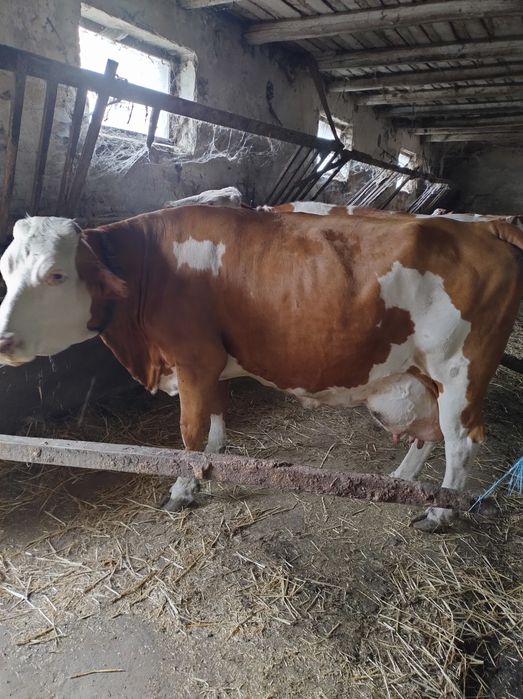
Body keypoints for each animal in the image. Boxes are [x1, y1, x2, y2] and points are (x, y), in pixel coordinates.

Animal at [0, 208, 522, 531]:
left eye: (56, 274)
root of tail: (482, 229)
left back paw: (440, 514)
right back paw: (404, 481)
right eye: (6, 268)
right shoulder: (209, 365)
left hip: (459, 372)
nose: (3, 340)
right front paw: (213, 461)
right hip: (423, 376)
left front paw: (184, 487)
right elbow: (214, 417)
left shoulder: (194, 358)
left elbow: (190, 431)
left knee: (460, 444)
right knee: (429, 434)